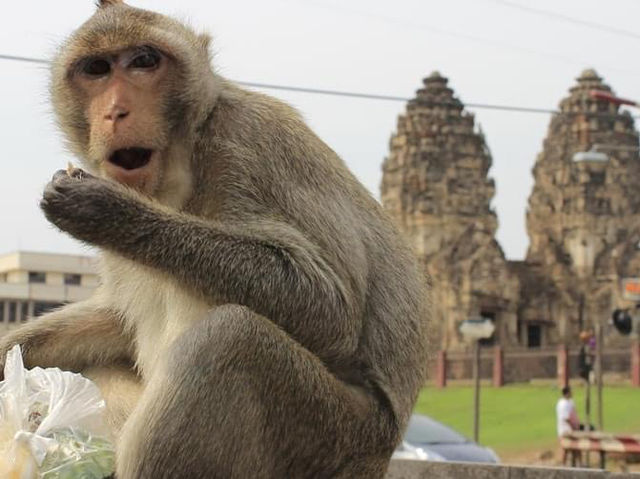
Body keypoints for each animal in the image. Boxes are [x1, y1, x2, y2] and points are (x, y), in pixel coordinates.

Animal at [1, 1, 430, 478]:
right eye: (96, 69)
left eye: (144, 61)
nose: (114, 111)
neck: (181, 165)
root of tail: (381, 454)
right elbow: (116, 318)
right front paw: (9, 352)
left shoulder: (249, 145)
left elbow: (331, 310)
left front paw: (111, 211)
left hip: (330, 436)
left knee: (228, 337)